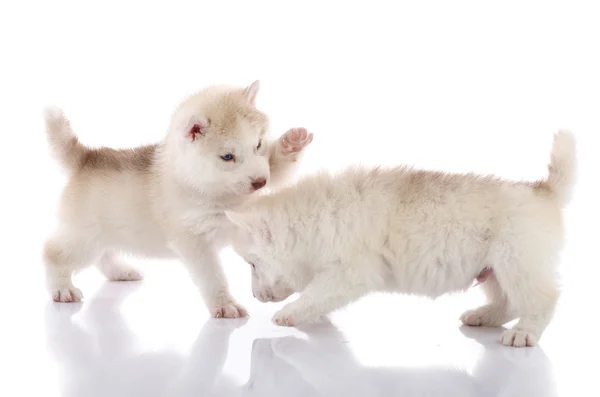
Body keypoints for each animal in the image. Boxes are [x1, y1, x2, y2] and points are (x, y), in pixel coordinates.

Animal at [43, 79, 314, 316]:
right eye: (227, 156)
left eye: (258, 145)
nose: (259, 182)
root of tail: (87, 157)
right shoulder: (193, 241)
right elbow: (213, 276)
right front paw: (224, 304)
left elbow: (276, 169)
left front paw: (291, 144)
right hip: (84, 239)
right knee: (53, 252)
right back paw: (62, 288)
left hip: (106, 234)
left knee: (104, 255)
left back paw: (120, 271)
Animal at [227, 131, 576, 344]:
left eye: (252, 265)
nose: (255, 297)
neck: (313, 220)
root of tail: (542, 190)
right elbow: (318, 294)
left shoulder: (351, 273)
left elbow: (316, 293)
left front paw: (290, 314)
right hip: (494, 270)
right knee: (507, 302)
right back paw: (484, 315)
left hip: (516, 262)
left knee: (544, 299)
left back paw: (524, 334)